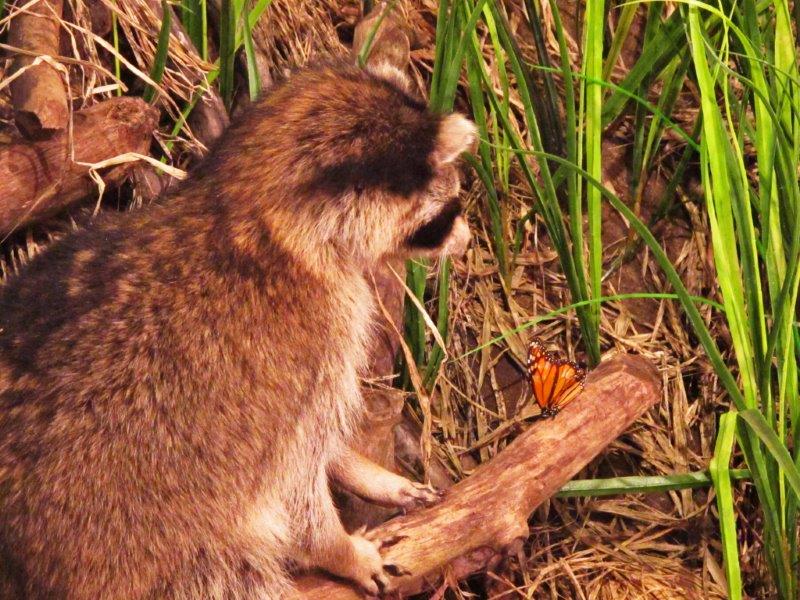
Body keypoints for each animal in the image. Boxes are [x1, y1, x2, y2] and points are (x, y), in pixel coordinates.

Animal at [0, 62, 475, 598]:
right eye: (443, 216)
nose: (467, 240)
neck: (255, 213)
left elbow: (324, 446)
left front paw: (360, 469)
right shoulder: (314, 347)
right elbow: (295, 480)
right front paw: (339, 549)